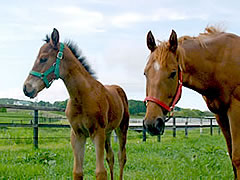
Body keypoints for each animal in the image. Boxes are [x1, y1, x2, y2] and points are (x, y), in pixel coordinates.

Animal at [23, 28, 129, 180]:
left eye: (43, 58)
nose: (26, 88)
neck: (82, 98)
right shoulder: (77, 135)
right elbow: (77, 172)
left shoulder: (97, 133)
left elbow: (100, 172)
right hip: (108, 132)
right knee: (111, 157)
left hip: (122, 128)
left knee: (121, 157)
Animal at [143, 26, 240, 179]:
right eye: (145, 73)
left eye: (173, 73)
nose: (152, 124)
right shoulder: (221, 114)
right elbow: (231, 156)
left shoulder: (235, 110)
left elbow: (237, 157)